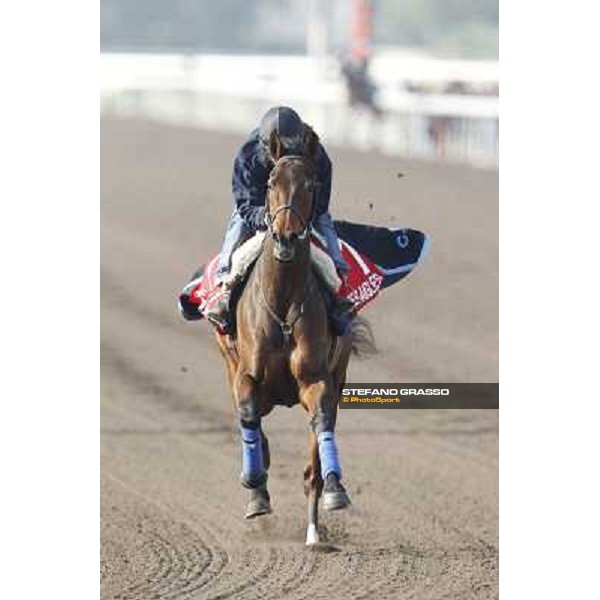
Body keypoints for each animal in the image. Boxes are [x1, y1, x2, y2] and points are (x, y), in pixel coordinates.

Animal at [216, 129, 376, 548]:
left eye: (311, 185)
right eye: (271, 182)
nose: (286, 237)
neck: (284, 301)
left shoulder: (318, 380)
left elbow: (321, 425)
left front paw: (334, 490)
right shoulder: (246, 377)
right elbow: (248, 414)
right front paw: (255, 487)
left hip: (339, 375)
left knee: (317, 449)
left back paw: (315, 528)